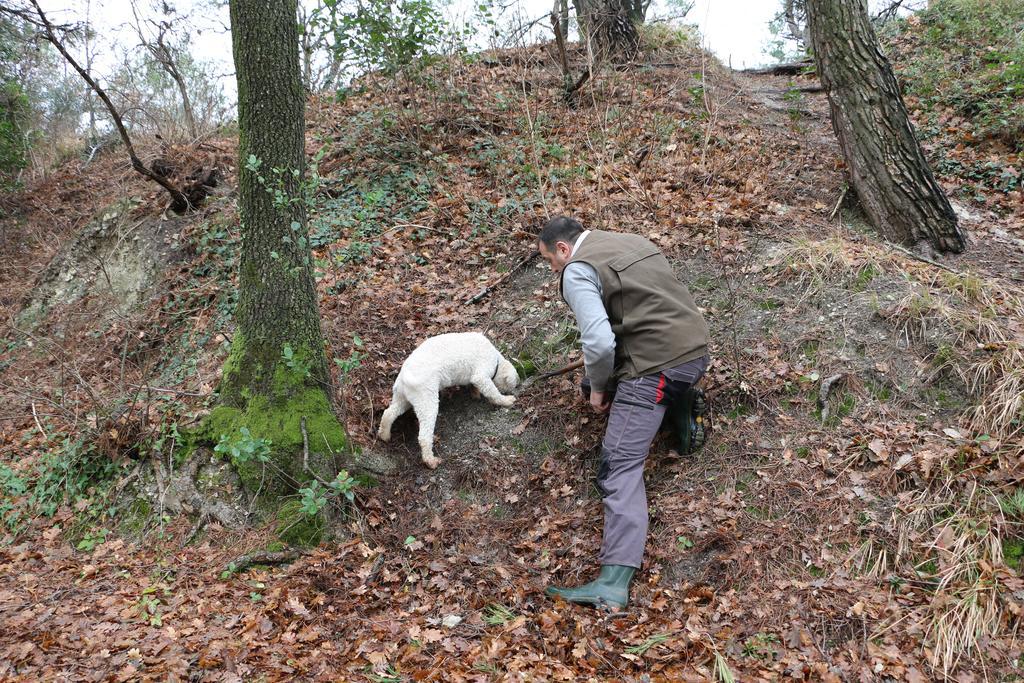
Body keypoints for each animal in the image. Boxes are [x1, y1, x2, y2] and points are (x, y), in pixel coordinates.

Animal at [376, 331, 520, 471]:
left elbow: (474, 384)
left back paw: (384, 434)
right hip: (424, 392)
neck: (496, 359)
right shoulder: (483, 368)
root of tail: (405, 376)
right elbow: (484, 384)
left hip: (402, 394)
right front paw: (507, 400)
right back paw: (431, 460)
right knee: (425, 428)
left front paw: (475, 392)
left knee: (391, 411)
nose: (513, 390)